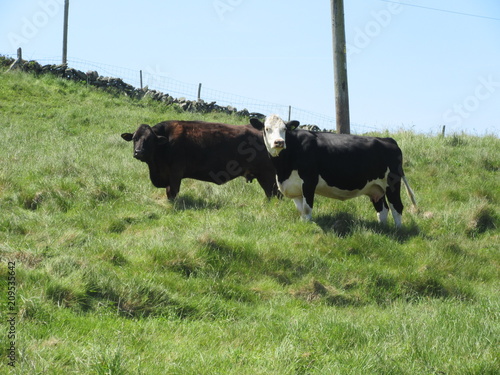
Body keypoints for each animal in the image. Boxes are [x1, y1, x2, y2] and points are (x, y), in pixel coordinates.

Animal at [250, 114, 418, 228]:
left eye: (284, 129)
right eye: (267, 129)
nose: (279, 142)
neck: (283, 169)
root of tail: (388, 139)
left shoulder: (309, 181)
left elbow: (307, 209)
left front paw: (309, 226)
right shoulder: (294, 187)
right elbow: (301, 210)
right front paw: (303, 224)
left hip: (392, 183)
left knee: (397, 207)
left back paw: (397, 231)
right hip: (376, 188)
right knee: (382, 210)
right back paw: (382, 229)